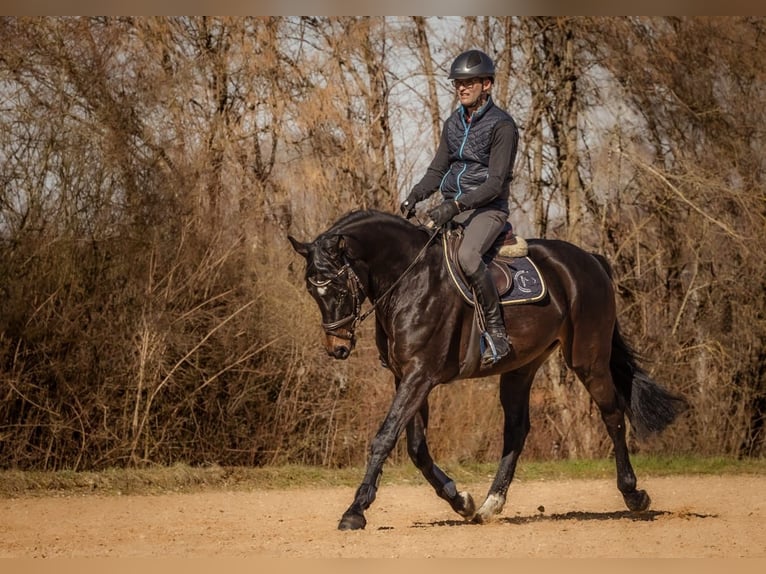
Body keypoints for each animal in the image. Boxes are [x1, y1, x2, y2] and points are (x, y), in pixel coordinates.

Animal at [288, 209, 687, 531]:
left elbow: (386, 437)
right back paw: (490, 503)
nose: (338, 348)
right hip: (522, 367)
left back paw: (633, 494)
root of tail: (588, 258)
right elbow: (416, 447)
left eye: (340, 288)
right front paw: (460, 500)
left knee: (613, 414)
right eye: (311, 289)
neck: (411, 278)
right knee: (516, 430)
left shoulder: (420, 375)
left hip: (588, 360)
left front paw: (355, 510)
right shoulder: (406, 376)